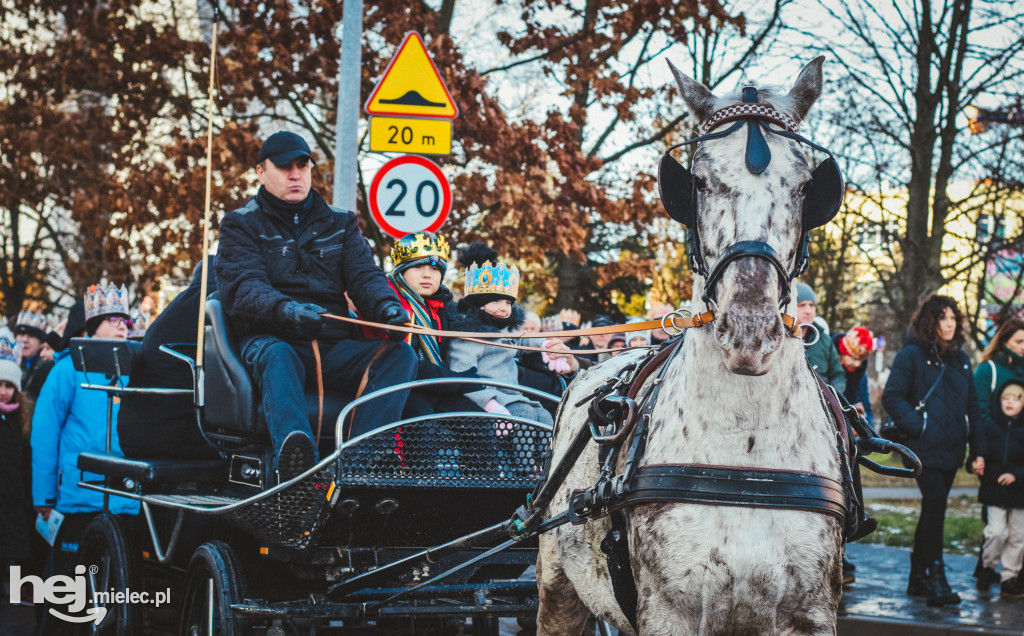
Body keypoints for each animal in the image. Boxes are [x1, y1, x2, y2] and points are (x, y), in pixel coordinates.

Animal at [524, 57, 925, 630]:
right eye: (698, 181)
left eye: (806, 185)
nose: (749, 331)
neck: (745, 446)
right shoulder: (667, 613)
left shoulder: (812, 613)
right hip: (557, 584)